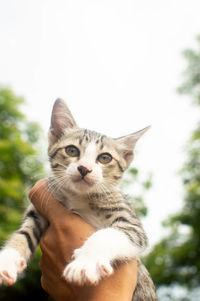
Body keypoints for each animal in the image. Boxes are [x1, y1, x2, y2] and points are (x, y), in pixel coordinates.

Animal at [0, 98, 157, 298]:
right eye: (72, 150)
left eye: (105, 158)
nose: (84, 168)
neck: (79, 197)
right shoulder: (38, 211)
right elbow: (24, 233)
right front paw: (7, 260)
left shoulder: (131, 224)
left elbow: (106, 234)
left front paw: (85, 264)